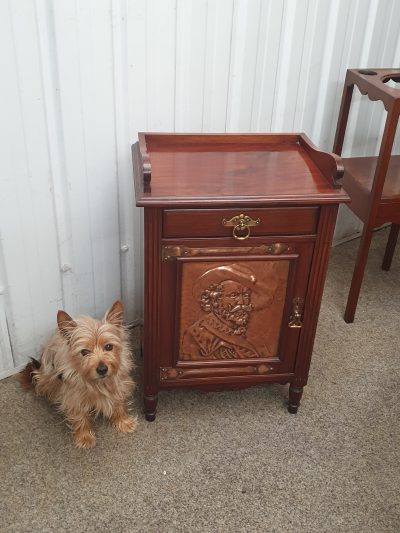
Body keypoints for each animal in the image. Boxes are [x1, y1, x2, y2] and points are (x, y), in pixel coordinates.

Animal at [19, 302, 137, 446]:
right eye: (84, 352)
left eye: (109, 347)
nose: (102, 369)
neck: (98, 383)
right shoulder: (73, 396)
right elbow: (79, 416)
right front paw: (84, 437)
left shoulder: (119, 384)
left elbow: (118, 403)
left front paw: (123, 421)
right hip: (47, 376)